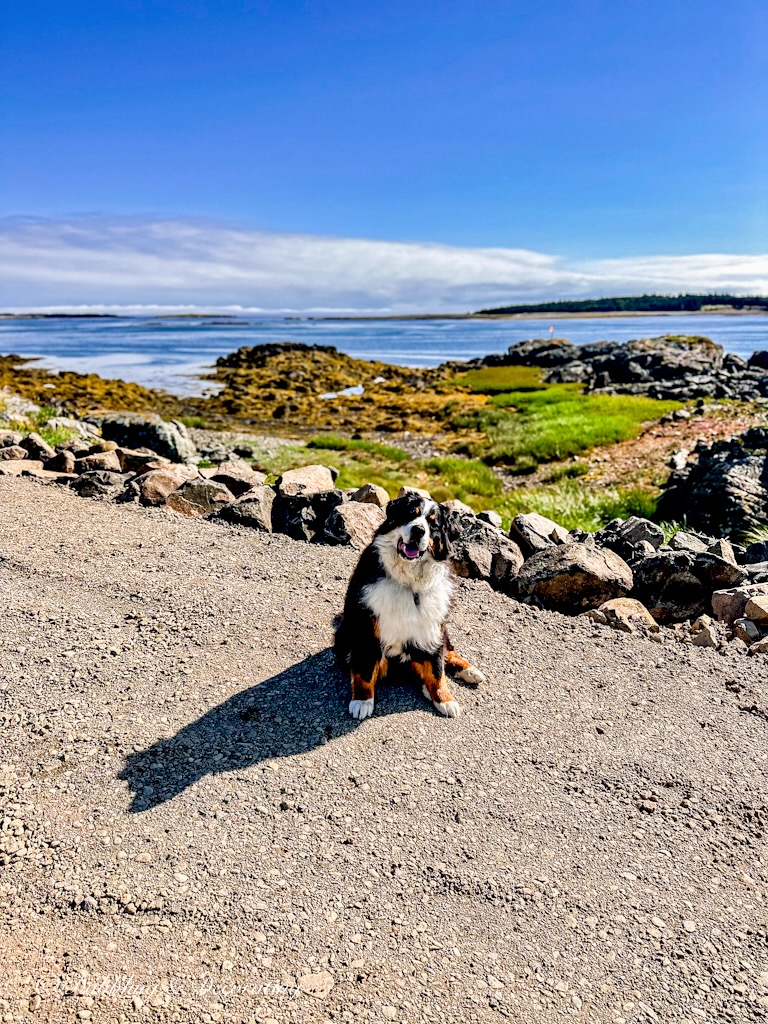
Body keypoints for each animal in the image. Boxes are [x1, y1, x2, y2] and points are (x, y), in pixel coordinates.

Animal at [331, 489, 487, 720]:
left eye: (433, 524)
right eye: (410, 514)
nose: (418, 530)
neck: (409, 583)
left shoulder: (432, 628)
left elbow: (437, 669)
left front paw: (445, 699)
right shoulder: (368, 627)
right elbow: (365, 668)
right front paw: (362, 700)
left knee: (447, 652)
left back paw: (469, 670)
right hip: (344, 635)